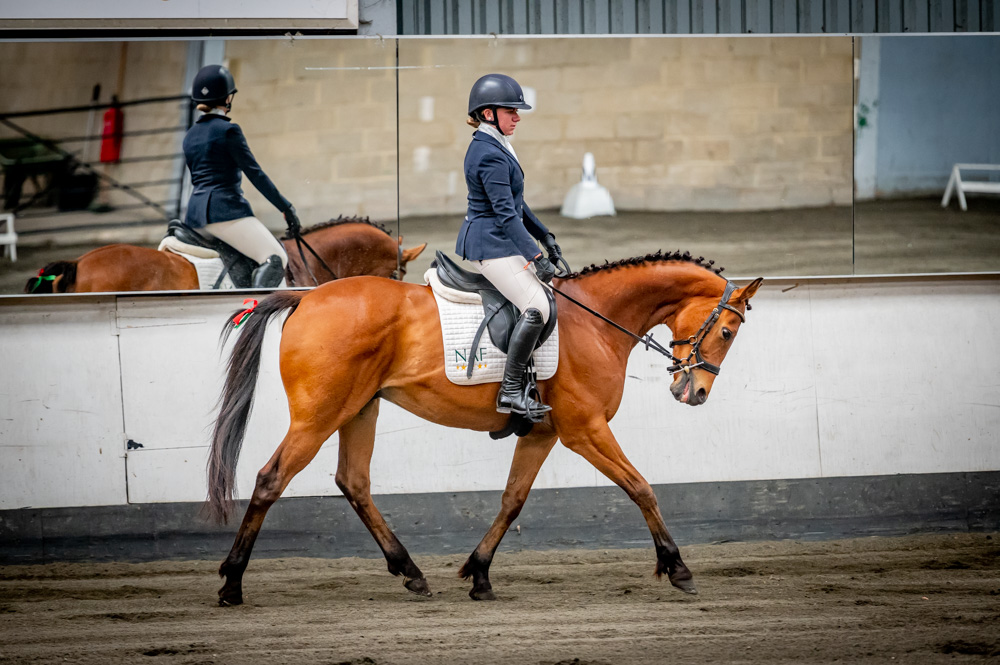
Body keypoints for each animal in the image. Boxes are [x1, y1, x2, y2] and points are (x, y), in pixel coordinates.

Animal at [207, 252, 760, 604]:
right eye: (728, 331)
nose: (695, 392)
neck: (598, 321)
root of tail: (305, 299)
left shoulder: (543, 433)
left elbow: (512, 500)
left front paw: (479, 574)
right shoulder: (585, 430)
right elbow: (641, 487)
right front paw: (678, 567)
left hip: (359, 410)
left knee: (354, 482)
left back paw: (411, 573)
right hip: (318, 416)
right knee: (271, 479)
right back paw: (232, 583)